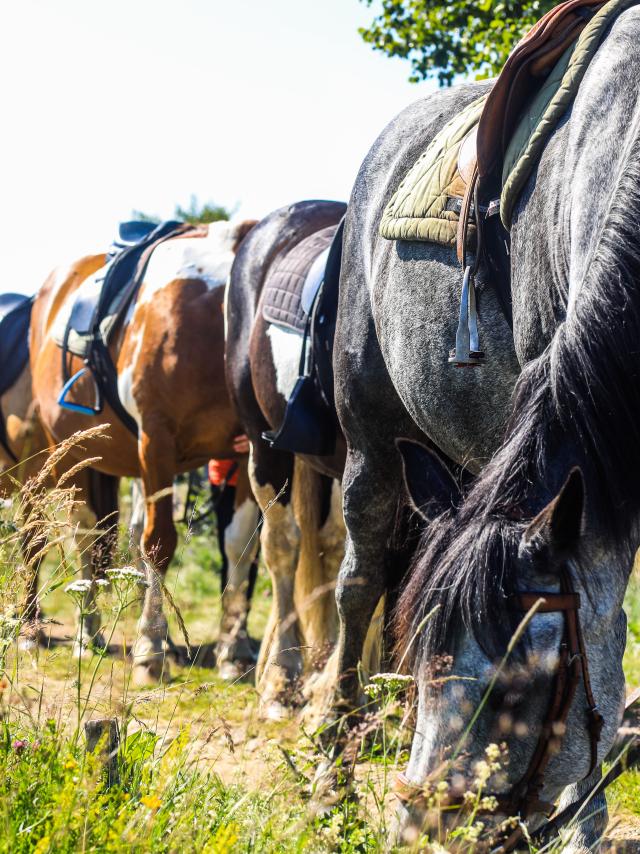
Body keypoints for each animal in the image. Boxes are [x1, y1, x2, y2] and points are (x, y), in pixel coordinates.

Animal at [29, 222, 260, 688]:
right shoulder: (156, 443)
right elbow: (158, 543)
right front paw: (149, 648)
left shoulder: (242, 451)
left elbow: (239, 545)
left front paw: (234, 648)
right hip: (70, 453)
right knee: (85, 537)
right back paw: (89, 631)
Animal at [330, 5, 640, 848]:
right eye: (425, 656)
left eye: (520, 687)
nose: (425, 826)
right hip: (369, 446)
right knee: (356, 587)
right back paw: (331, 785)